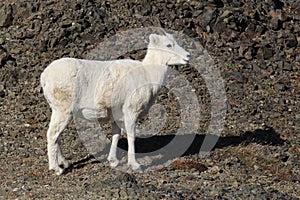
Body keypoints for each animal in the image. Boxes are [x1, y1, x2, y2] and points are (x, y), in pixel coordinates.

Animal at [39, 32, 190, 175]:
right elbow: (131, 137)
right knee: (52, 135)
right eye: (169, 45)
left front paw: (113, 161)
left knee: (56, 137)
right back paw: (56, 169)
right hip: (63, 111)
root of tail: (44, 76)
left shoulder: (117, 116)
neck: (148, 74)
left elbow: (116, 135)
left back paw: (65, 164)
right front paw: (134, 165)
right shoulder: (131, 113)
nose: (188, 56)